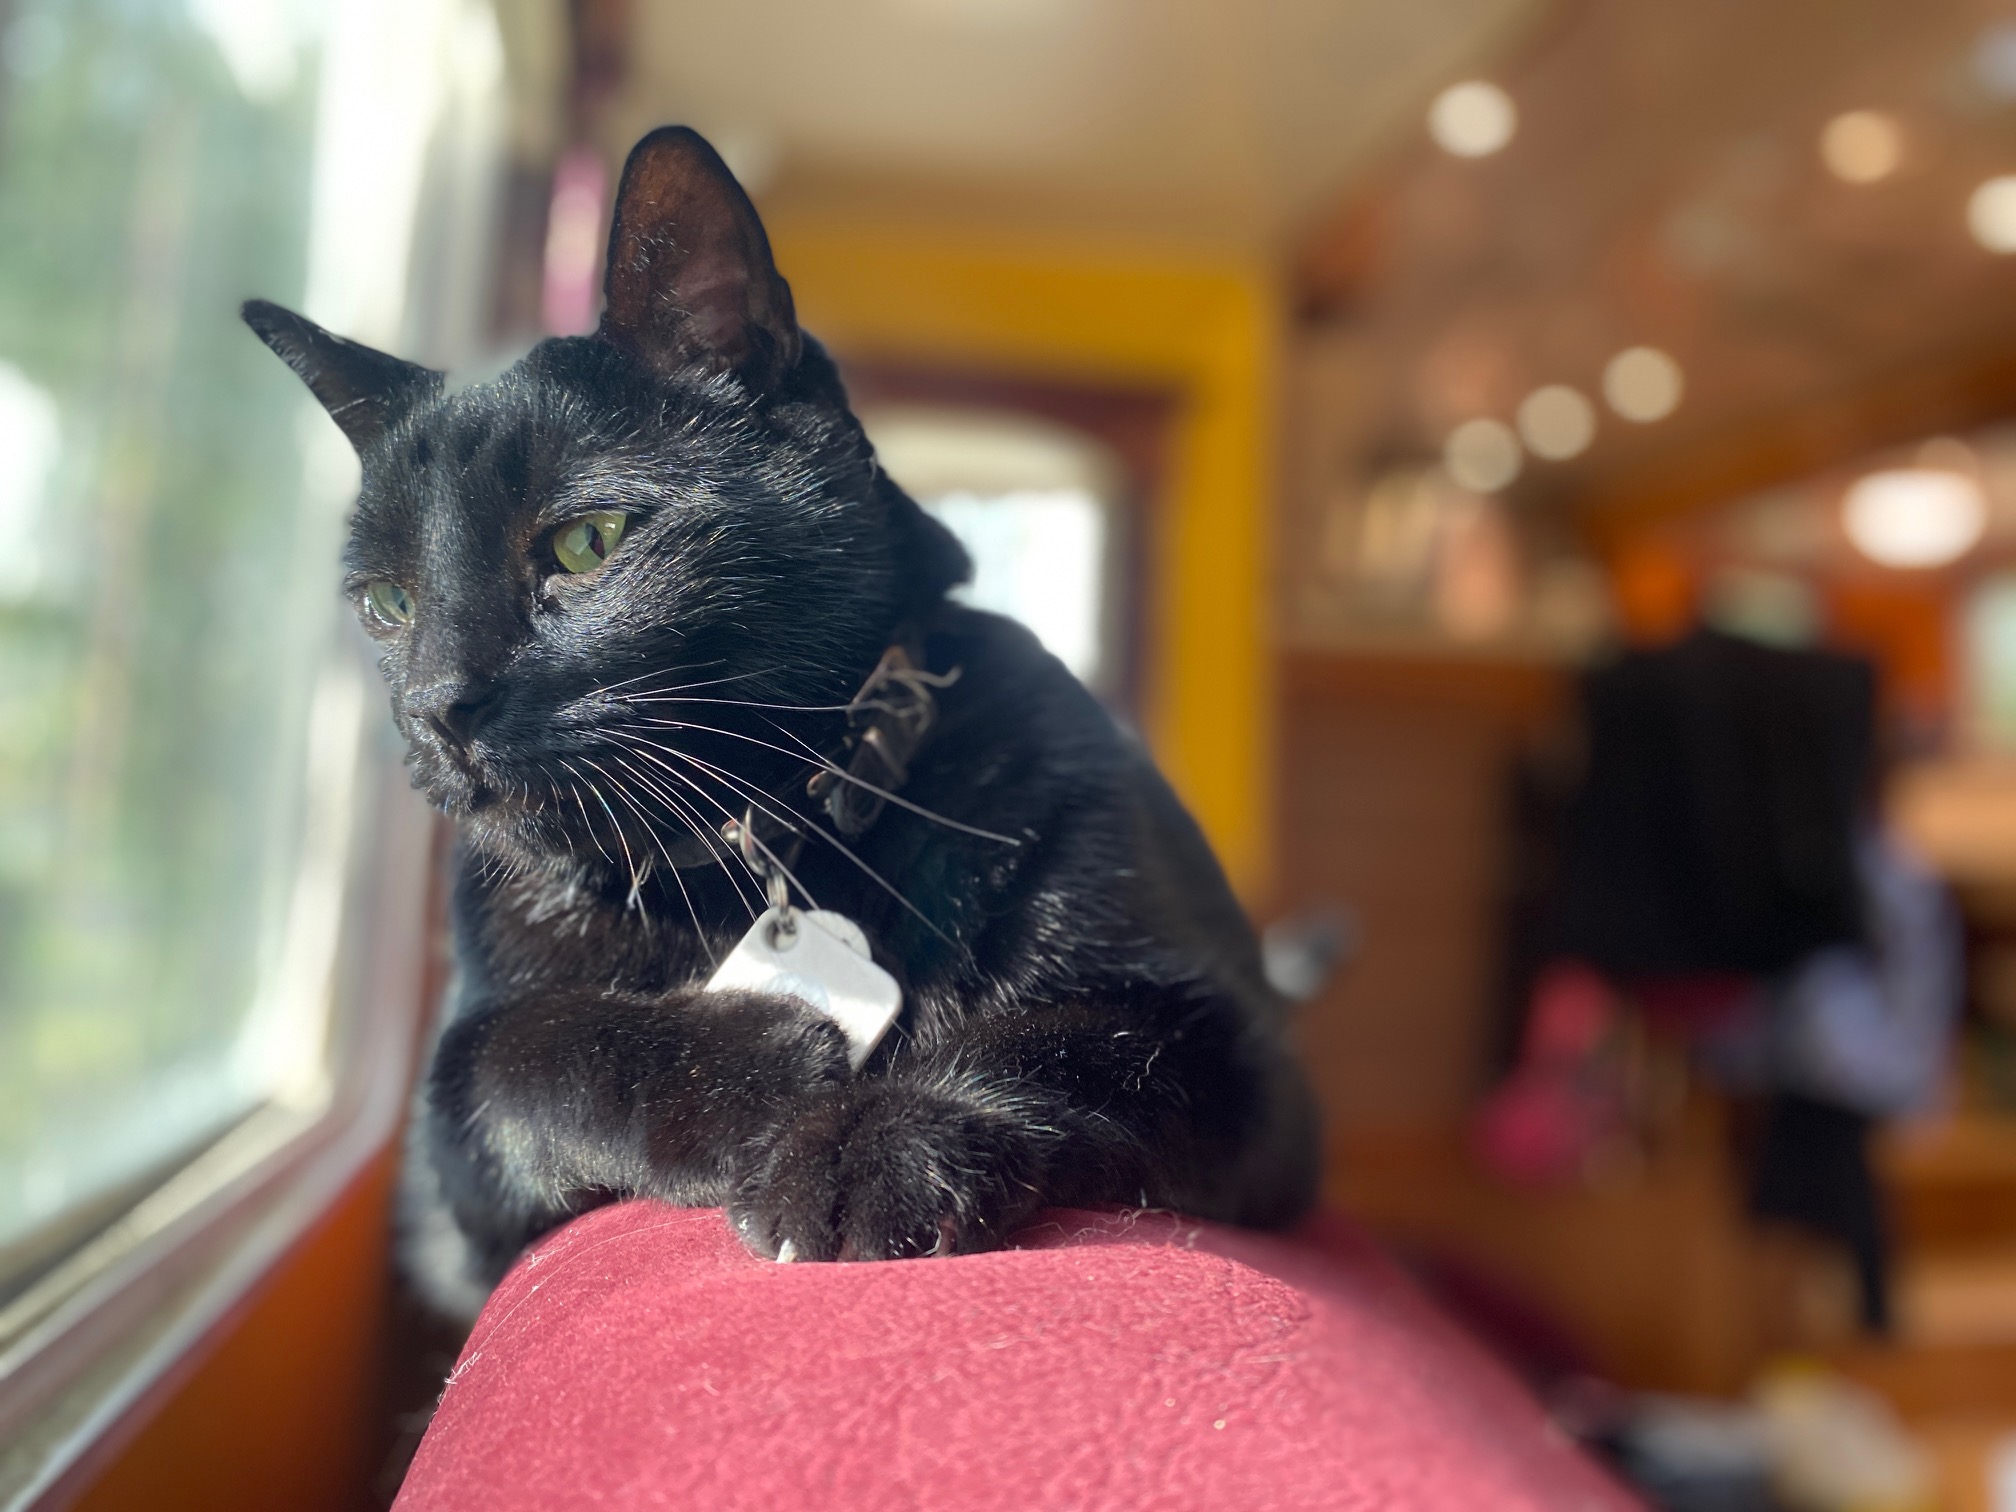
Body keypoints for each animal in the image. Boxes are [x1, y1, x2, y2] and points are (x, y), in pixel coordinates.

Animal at [245, 126, 1320, 1318]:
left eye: (585, 542)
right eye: (387, 603)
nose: (437, 705)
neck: (755, 852)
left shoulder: (1234, 1049)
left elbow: (1060, 1043)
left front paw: (878, 1143)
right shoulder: (452, 1148)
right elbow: (524, 1053)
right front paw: (760, 1062)